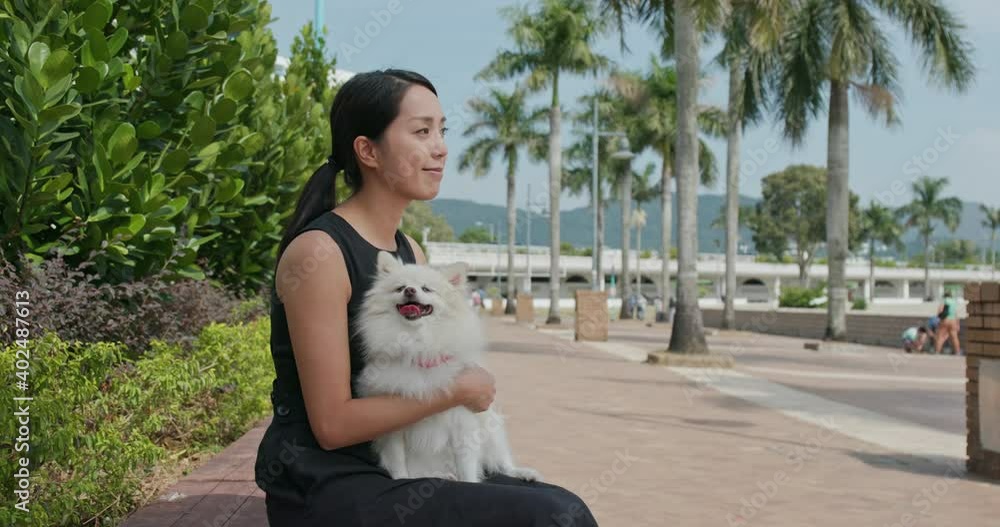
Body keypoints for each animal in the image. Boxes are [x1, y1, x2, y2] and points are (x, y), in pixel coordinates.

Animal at [356, 252, 544, 486]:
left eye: (426, 289)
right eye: (399, 288)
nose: (410, 290)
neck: (418, 343)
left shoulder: (463, 424)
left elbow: (466, 465)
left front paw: (469, 483)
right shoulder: (392, 427)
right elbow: (398, 462)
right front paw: (401, 480)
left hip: (492, 428)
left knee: (502, 461)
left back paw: (522, 472)